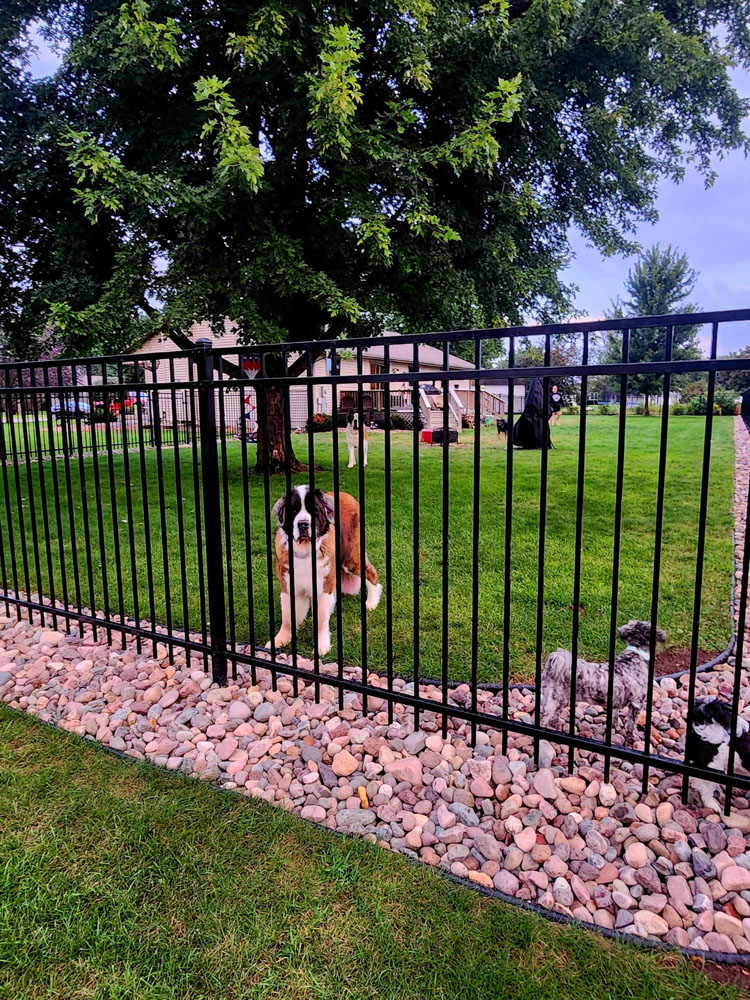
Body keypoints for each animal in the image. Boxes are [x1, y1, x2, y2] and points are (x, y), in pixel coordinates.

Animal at [268, 488, 382, 660]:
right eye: (294, 510)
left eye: (314, 510)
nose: (303, 524)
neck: (306, 550)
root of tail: (346, 495)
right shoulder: (288, 585)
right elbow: (287, 617)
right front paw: (280, 639)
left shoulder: (323, 586)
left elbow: (321, 619)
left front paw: (321, 645)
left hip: (350, 558)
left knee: (371, 575)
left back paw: (371, 602)